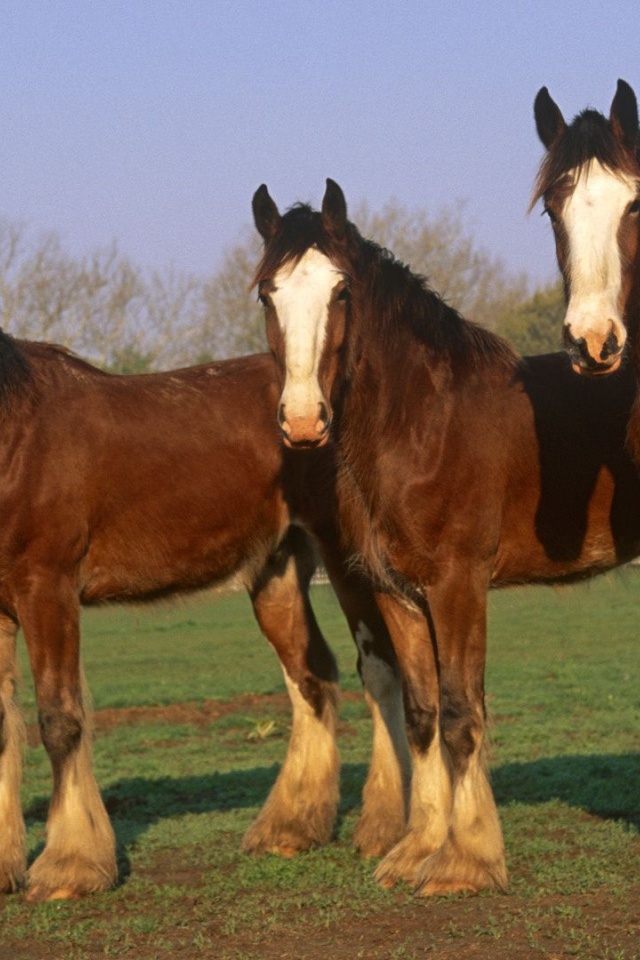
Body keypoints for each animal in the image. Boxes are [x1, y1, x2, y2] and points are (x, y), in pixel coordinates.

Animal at [0, 330, 412, 900]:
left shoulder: (47, 588)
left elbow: (59, 719)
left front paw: (69, 867)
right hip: (277, 571)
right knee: (312, 679)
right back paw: (290, 828)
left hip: (349, 560)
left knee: (379, 672)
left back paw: (383, 828)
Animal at [251, 182, 640, 900]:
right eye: (268, 292)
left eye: (341, 291)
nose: (303, 421)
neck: (424, 423)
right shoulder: (399, 595)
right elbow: (424, 715)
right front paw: (417, 849)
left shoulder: (458, 587)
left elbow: (463, 713)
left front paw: (467, 860)